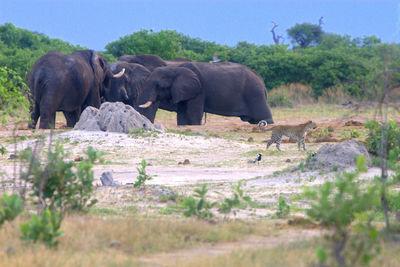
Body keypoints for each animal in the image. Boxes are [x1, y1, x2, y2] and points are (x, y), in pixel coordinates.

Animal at [138, 62, 276, 126]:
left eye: (159, 86)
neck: (176, 68)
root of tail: (261, 80)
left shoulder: (199, 90)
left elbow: (192, 114)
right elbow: (182, 114)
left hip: (254, 94)